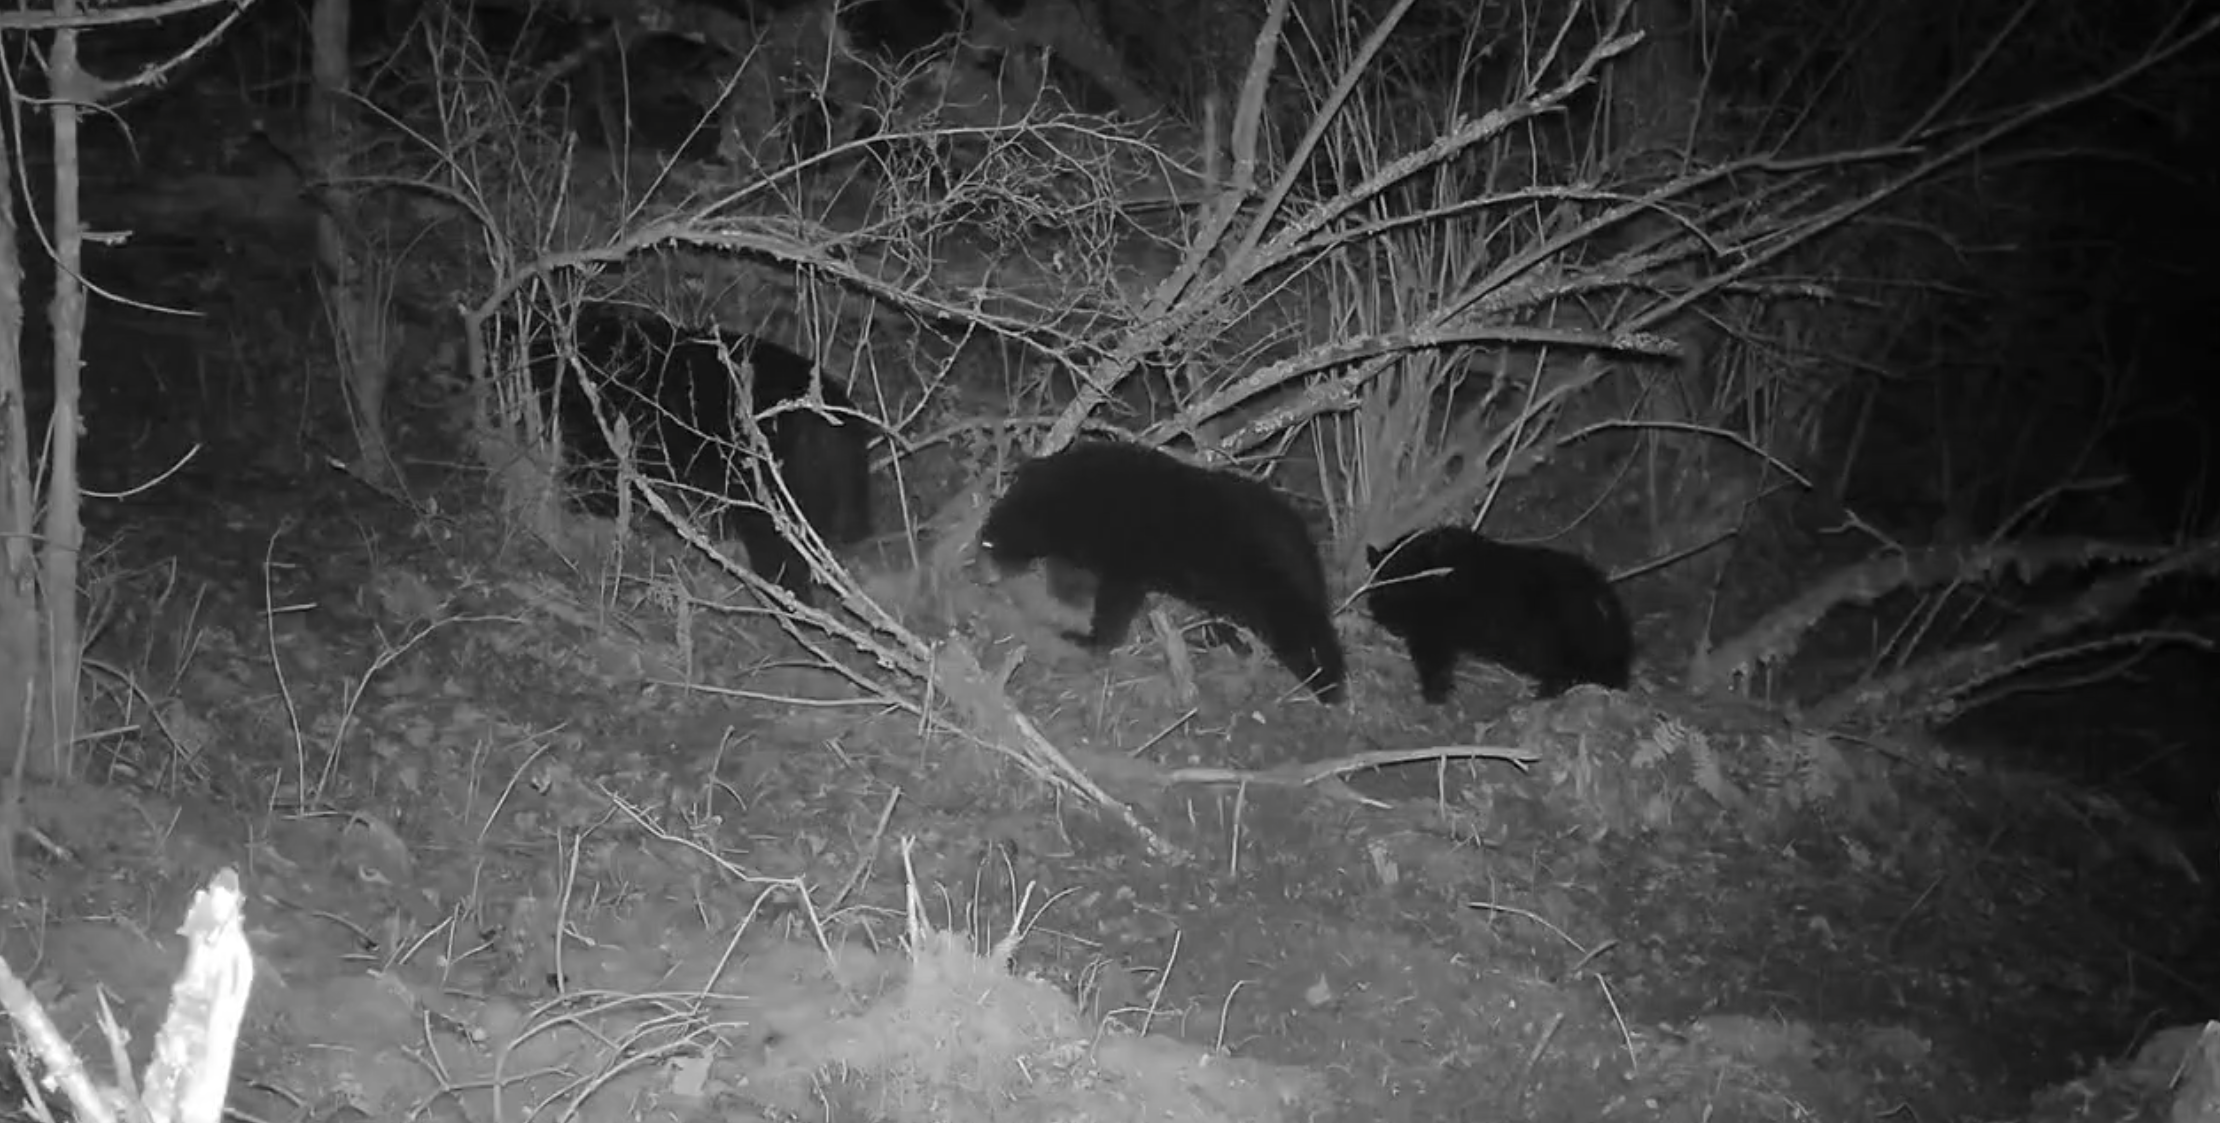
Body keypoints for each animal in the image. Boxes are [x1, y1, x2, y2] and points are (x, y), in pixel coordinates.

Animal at [977, 440, 1348, 703]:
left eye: (995, 542)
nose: (982, 543)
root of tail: (1300, 533)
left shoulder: (1124, 566)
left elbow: (1111, 608)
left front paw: (1090, 639)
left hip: (1270, 589)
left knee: (1305, 629)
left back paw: (1326, 685)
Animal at [1365, 526, 1631, 703]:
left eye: (1386, 593)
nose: (1381, 618)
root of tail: (1600, 592)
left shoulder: (1432, 634)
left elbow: (1433, 668)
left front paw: (1435, 696)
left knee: (1565, 673)